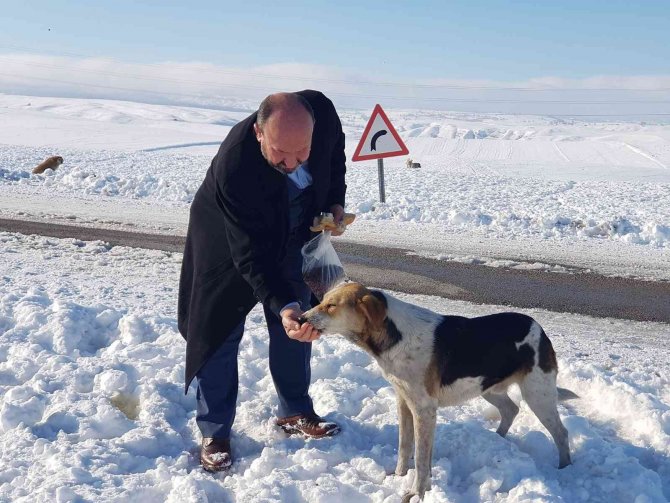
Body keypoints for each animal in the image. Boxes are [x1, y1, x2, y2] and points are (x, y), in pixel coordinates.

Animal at [302, 284, 576, 500]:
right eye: (323, 301)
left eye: (331, 305)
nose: (302, 319)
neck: (394, 335)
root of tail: (539, 327)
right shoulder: (405, 402)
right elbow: (406, 447)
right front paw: (400, 477)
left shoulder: (424, 409)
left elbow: (421, 458)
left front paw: (416, 493)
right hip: (488, 387)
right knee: (511, 408)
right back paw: (498, 439)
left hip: (538, 395)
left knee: (561, 433)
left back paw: (565, 469)